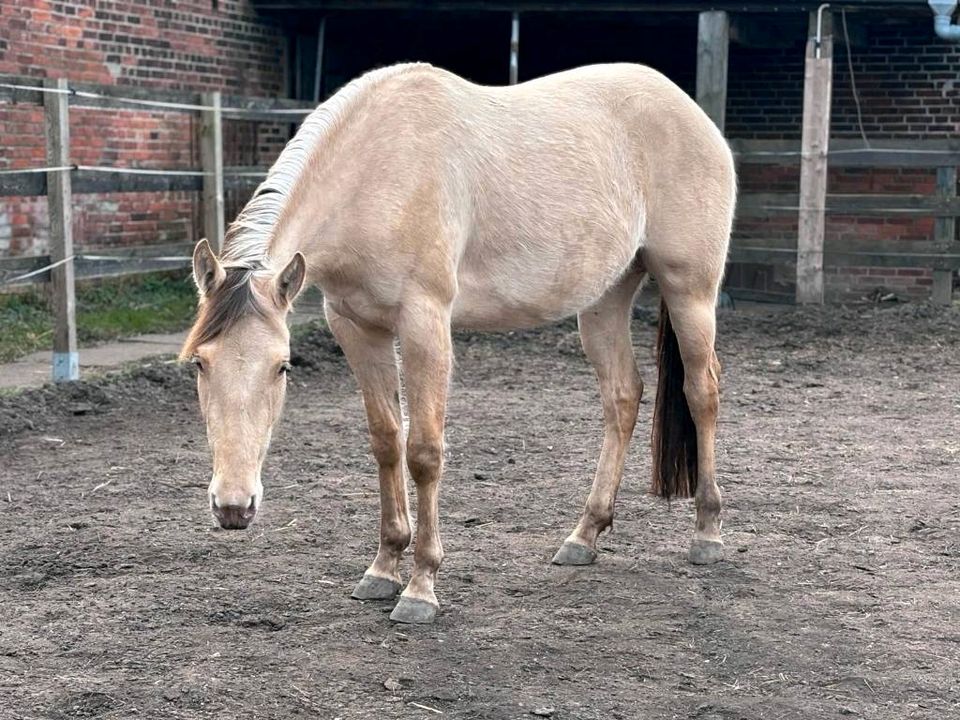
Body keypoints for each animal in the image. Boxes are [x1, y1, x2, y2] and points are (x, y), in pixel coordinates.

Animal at [182, 63, 736, 624]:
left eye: (282, 367)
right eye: (200, 365)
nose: (233, 507)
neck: (376, 170)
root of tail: (690, 112)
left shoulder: (425, 323)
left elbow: (424, 452)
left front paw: (420, 587)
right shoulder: (356, 328)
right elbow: (386, 441)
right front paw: (383, 568)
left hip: (689, 291)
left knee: (701, 393)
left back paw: (707, 534)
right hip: (605, 300)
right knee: (622, 397)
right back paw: (584, 536)